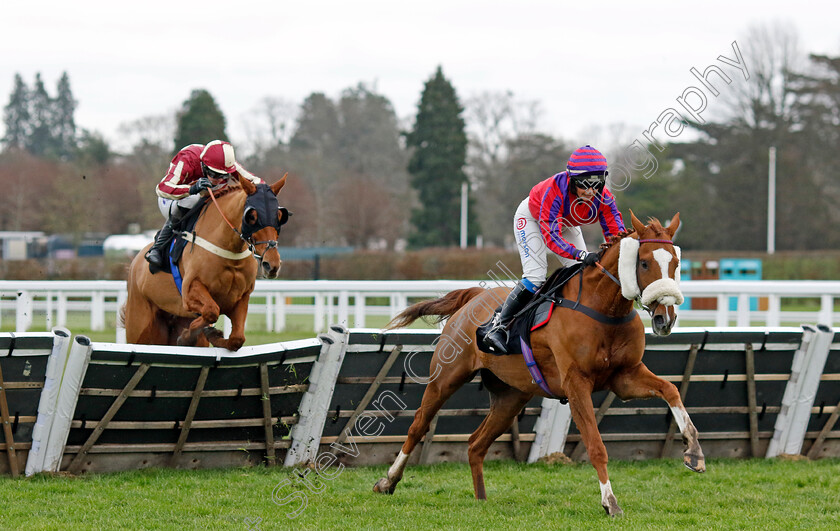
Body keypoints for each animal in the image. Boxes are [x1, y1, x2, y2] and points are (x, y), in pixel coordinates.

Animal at [123, 172, 290, 352]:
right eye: (251, 216)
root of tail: (134, 264)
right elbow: (211, 311)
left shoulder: (241, 298)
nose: (271, 265)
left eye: (279, 216)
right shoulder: (190, 291)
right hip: (142, 330)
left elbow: (237, 339)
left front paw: (213, 334)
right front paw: (190, 336)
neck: (229, 251)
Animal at [372, 211, 704, 516]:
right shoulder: (576, 383)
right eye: (644, 263)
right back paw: (388, 481)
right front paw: (610, 502)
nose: (664, 319)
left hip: (510, 397)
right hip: (446, 377)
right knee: (418, 426)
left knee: (476, 443)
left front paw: (694, 451)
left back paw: (481, 501)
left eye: (676, 263)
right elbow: (596, 446)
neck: (604, 309)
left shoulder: (625, 376)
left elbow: (671, 390)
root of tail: (475, 295)